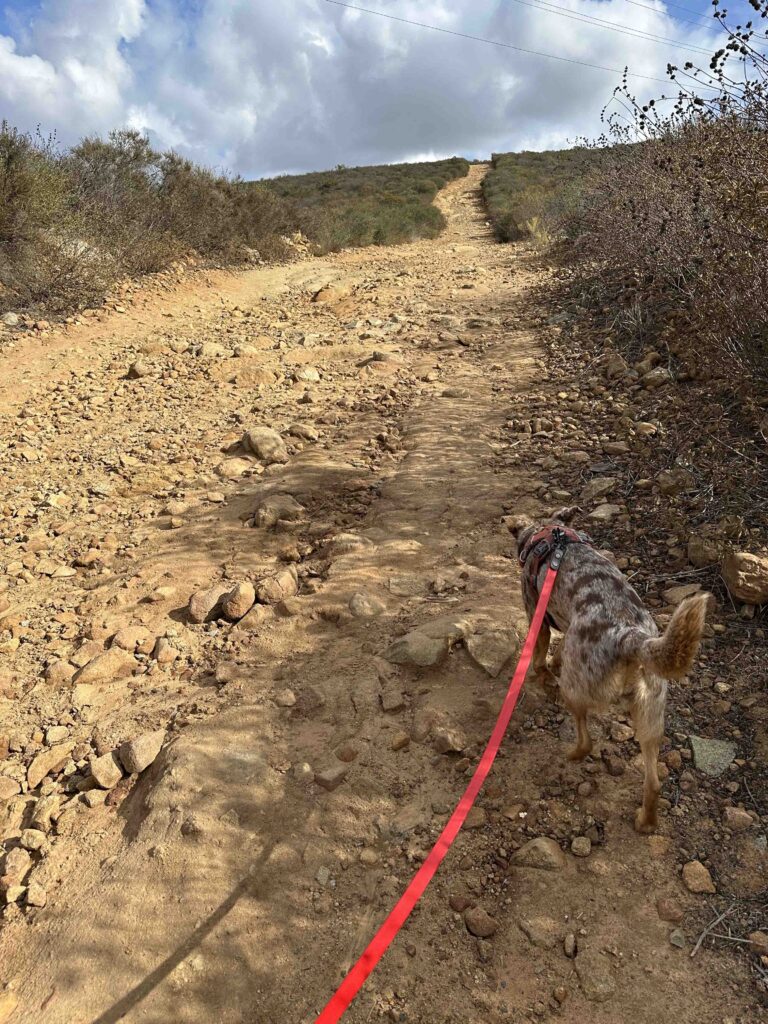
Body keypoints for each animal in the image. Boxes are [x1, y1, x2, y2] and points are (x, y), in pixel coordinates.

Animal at [507, 503, 712, 831]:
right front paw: (553, 662)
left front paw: (542, 674)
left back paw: (571, 754)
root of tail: (629, 636)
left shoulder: (537, 617)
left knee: (586, 742)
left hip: (575, 690)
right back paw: (646, 822)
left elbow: (539, 655)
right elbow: (558, 651)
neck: (548, 533)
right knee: (654, 783)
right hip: (651, 716)